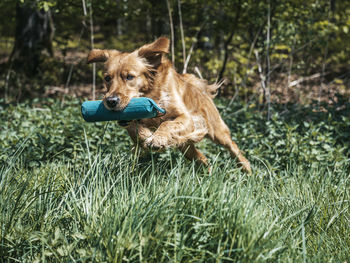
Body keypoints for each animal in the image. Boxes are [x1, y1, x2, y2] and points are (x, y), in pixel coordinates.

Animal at [87, 37, 252, 173]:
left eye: (129, 77)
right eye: (107, 78)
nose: (111, 101)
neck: (151, 94)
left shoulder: (186, 118)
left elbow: (167, 124)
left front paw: (157, 139)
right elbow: (135, 128)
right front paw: (146, 136)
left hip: (217, 131)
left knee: (233, 147)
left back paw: (247, 170)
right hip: (186, 147)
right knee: (201, 158)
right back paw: (207, 171)